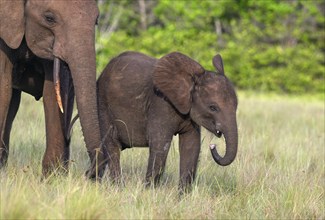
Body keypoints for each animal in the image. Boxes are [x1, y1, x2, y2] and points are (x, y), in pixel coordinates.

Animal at [0, 0, 105, 179]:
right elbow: (3, 87)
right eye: (49, 18)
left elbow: (54, 93)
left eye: (96, 20)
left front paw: (52, 179)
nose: (88, 174)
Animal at [97, 51, 237, 192]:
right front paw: (149, 192)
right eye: (213, 108)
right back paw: (118, 188)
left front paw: (182, 197)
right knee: (112, 145)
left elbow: (191, 146)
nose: (213, 146)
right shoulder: (161, 103)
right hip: (103, 104)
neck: (191, 81)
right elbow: (160, 145)